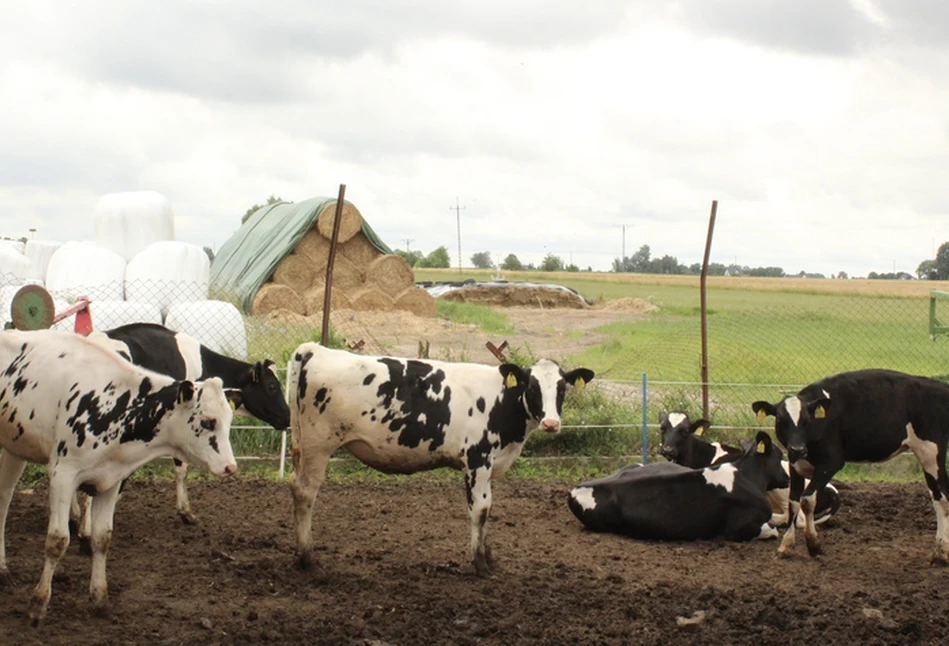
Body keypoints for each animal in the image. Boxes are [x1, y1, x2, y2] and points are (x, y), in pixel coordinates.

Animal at [286, 344, 592, 576]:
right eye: (531, 387)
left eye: (562, 388)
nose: (551, 423)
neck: (501, 401)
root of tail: (315, 349)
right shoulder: (477, 460)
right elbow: (480, 510)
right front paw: (480, 565)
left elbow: (488, 510)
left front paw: (489, 558)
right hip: (318, 446)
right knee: (305, 493)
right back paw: (309, 560)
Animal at [568, 432, 788, 544]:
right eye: (780, 456)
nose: (787, 478)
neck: (746, 475)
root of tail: (576, 489)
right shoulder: (739, 529)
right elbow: (771, 530)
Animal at [656, 412, 840, 528]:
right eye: (662, 428)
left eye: (685, 431)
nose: (667, 450)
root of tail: (833, 490)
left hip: (781, 488)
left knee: (795, 518)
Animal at [752, 368, 948, 564]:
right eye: (780, 420)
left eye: (807, 420)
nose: (797, 448)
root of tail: (940, 387)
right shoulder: (795, 465)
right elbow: (793, 502)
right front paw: (785, 546)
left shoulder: (831, 463)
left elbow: (807, 500)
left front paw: (813, 544)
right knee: (937, 498)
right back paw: (939, 552)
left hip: (931, 453)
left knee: (943, 498)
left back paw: (942, 553)